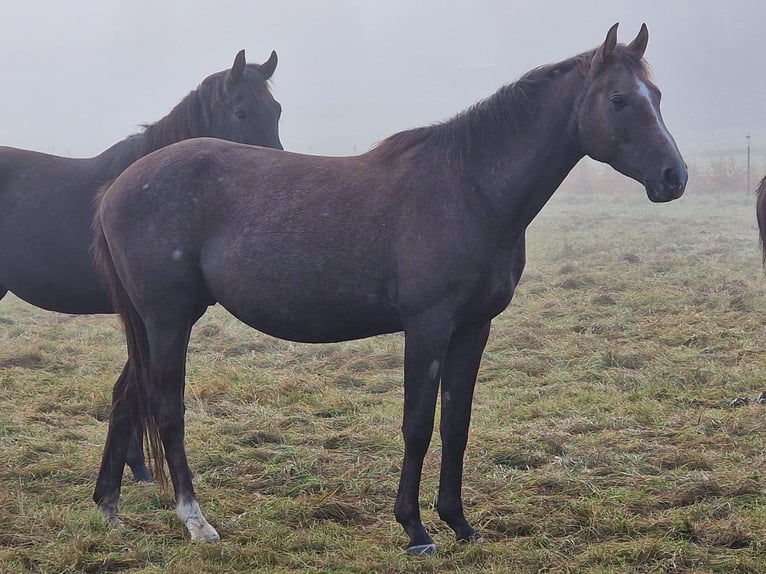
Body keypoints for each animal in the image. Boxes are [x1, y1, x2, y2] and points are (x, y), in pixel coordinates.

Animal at [93, 24, 688, 556]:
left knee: (132, 398)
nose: (674, 177)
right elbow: (418, 425)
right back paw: (196, 521)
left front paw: (459, 523)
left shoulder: (473, 328)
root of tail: (117, 187)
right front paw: (416, 529)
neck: (469, 187)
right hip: (168, 320)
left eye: (657, 96)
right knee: (168, 408)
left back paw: (111, 507)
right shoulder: (427, 327)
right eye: (618, 100)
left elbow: (456, 424)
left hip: (158, 323)